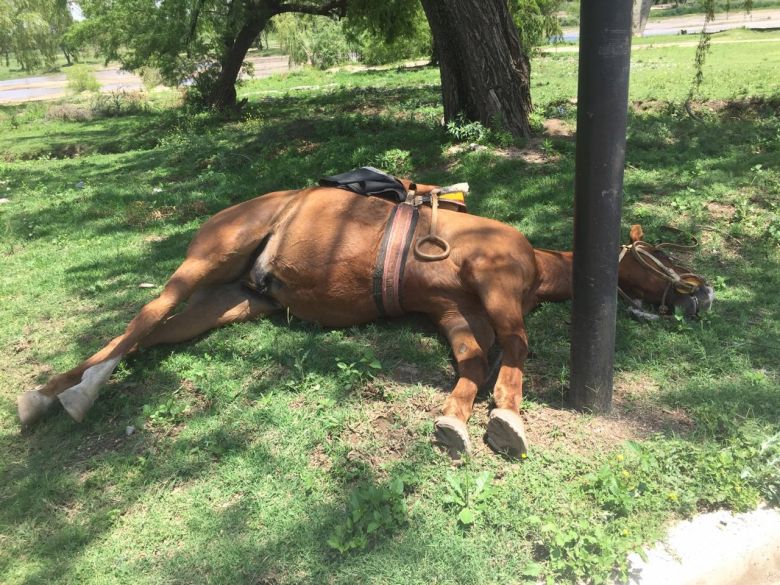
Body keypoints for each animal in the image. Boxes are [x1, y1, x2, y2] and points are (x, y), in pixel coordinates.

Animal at [16, 180, 712, 458]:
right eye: (658, 252)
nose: (701, 293)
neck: (536, 264)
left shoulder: (458, 310)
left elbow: (476, 359)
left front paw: (458, 420)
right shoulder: (492, 283)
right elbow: (515, 346)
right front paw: (508, 416)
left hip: (229, 301)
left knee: (151, 333)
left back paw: (44, 397)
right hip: (206, 261)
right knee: (144, 318)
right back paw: (75, 395)